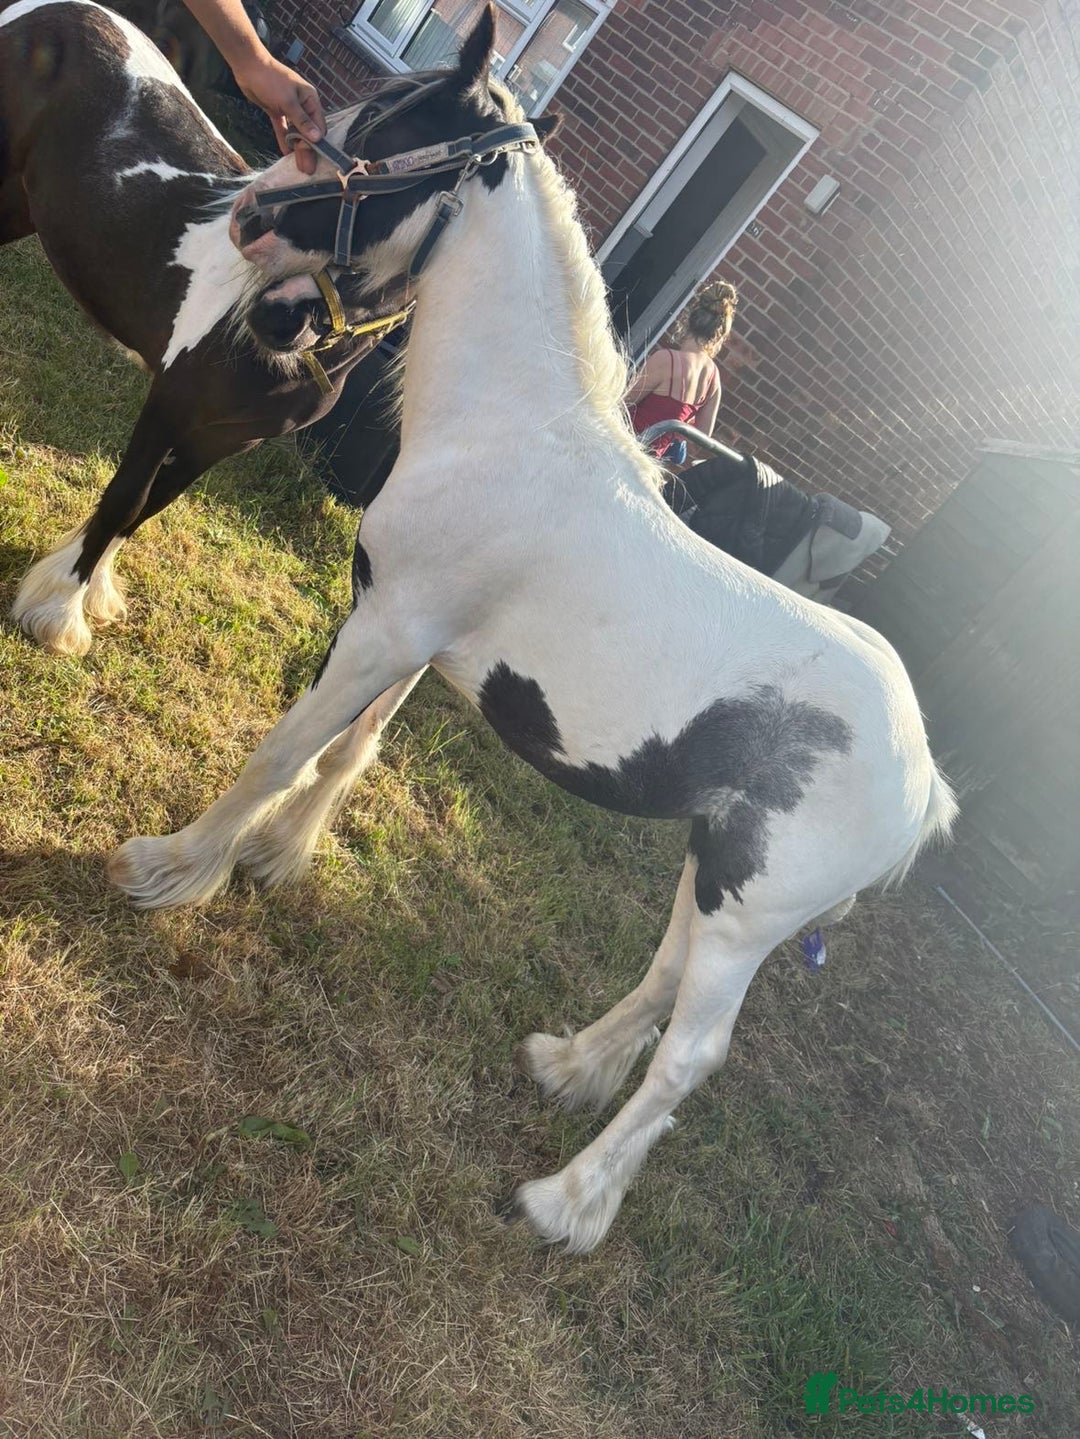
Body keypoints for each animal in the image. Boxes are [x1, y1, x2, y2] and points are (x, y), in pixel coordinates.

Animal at [0, 0, 407, 655]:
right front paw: (59, 615)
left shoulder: (223, 440)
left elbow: (152, 507)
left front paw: (92, 593)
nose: (280, 316)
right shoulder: (169, 405)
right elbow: (128, 499)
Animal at [108, 6, 957, 1252]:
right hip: (711, 873)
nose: (251, 214)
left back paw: (566, 1202)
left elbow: (283, 747)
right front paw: (272, 860)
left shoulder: (387, 628)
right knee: (660, 983)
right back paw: (564, 1066)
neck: (507, 429)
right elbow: (349, 750)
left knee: (694, 1051)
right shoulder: (409, 631)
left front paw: (172, 866)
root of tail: (923, 780)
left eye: (385, 138)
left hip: (750, 913)